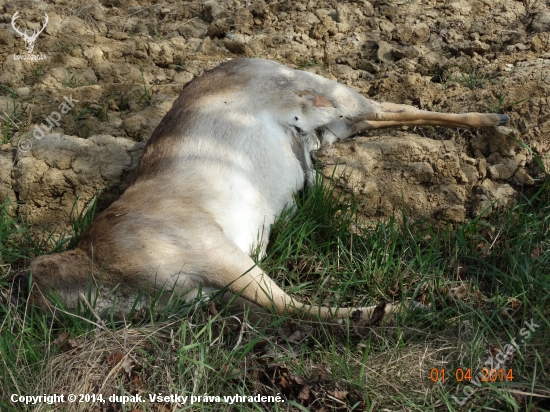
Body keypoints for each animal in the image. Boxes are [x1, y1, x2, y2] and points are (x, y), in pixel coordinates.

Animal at [19, 58, 512, 322]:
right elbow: (287, 306)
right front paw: (401, 307)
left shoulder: (217, 254)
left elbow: (291, 307)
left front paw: (406, 307)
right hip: (332, 122)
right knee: (380, 115)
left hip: (326, 94)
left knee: (387, 105)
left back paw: (497, 120)